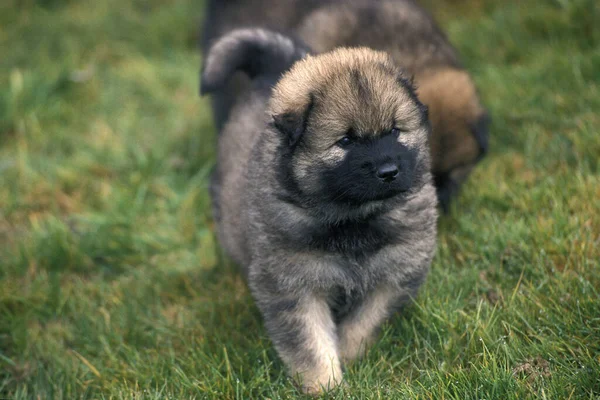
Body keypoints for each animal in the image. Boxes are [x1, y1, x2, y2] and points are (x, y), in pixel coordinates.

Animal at [202, 28, 436, 394]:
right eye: (346, 141)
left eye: (394, 131)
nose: (389, 171)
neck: (353, 218)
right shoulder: (295, 285)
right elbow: (309, 342)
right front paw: (325, 384)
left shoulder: (395, 273)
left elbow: (364, 323)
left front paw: (351, 356)